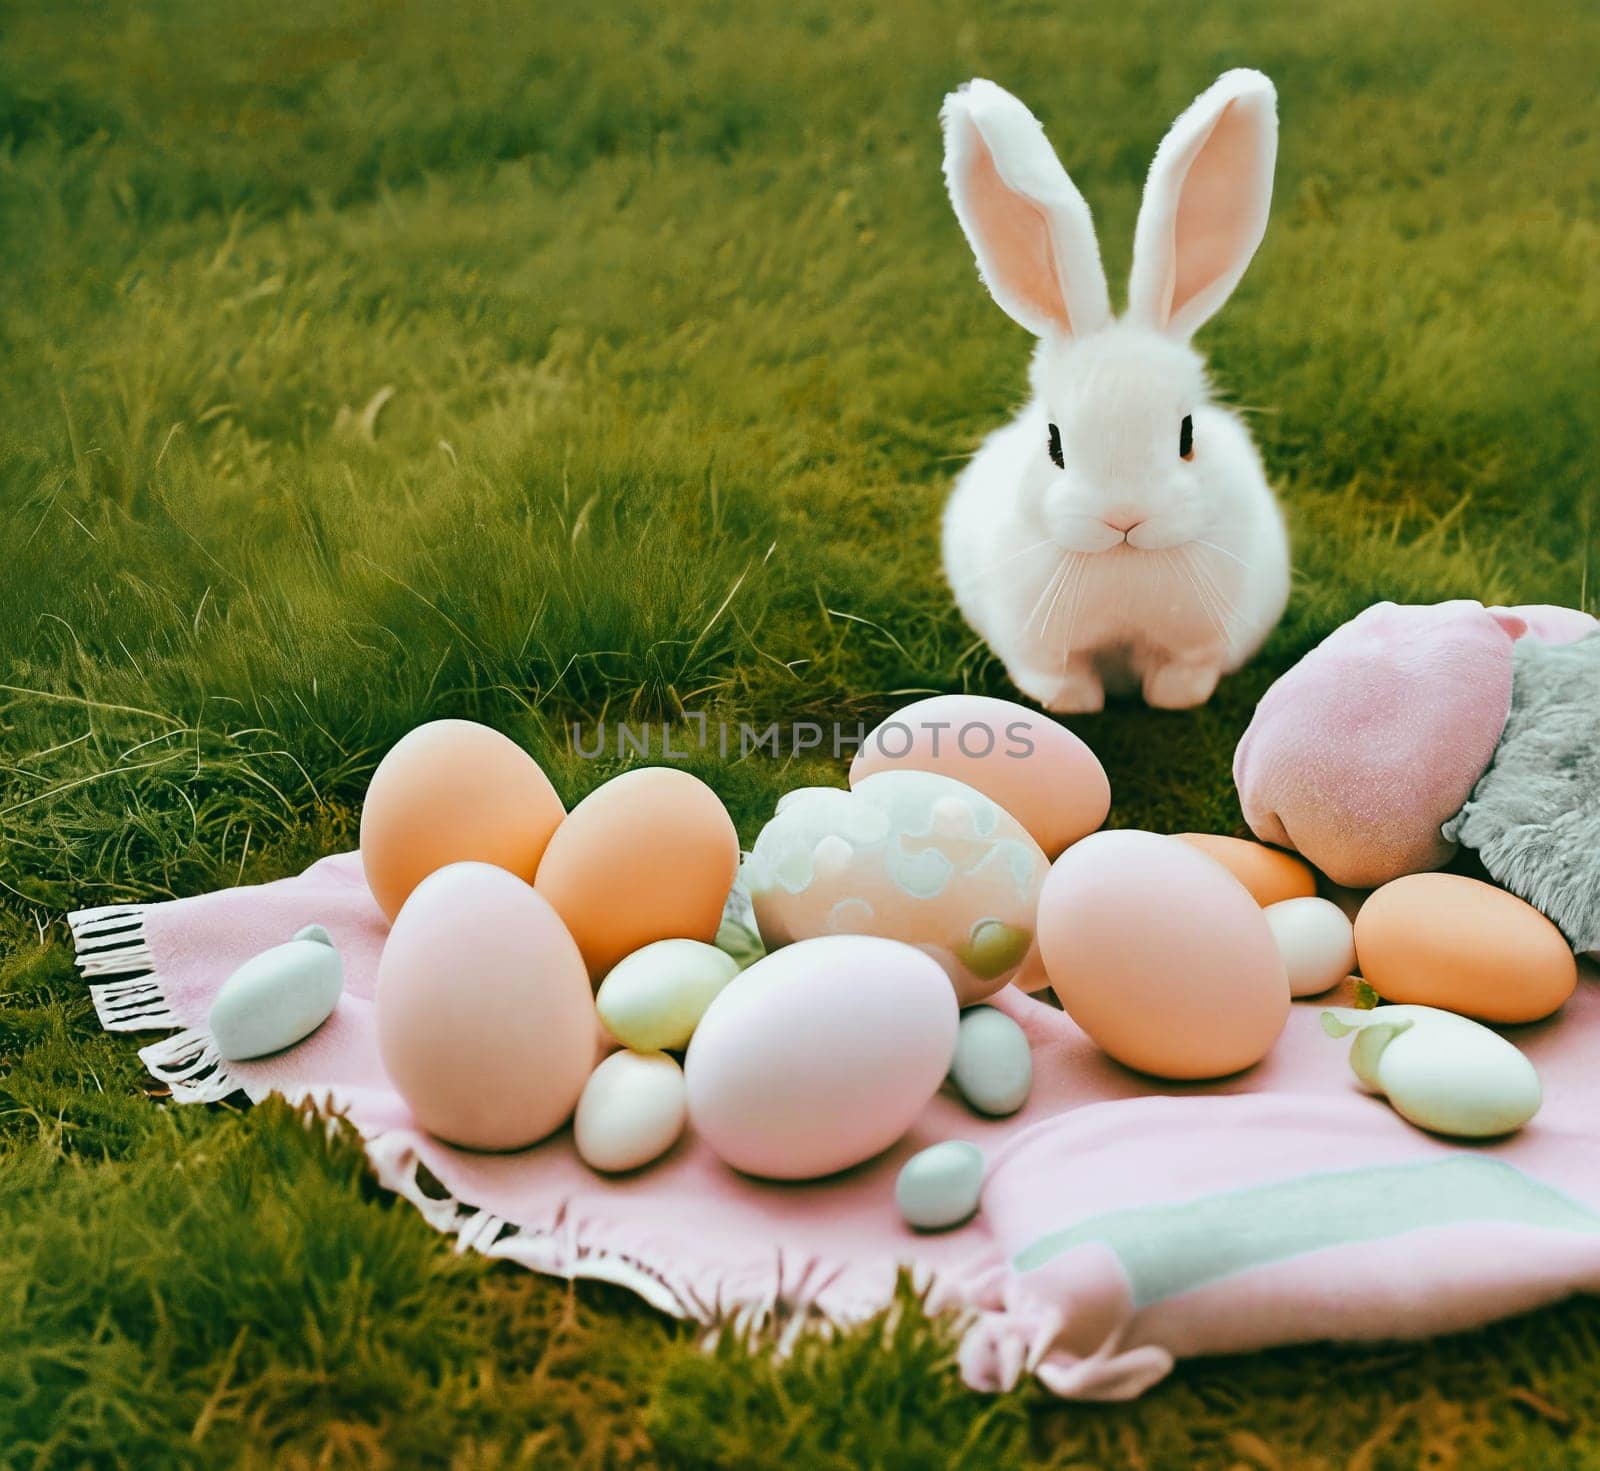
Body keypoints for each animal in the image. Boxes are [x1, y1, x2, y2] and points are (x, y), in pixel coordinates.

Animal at [940, 70, 1292, 713]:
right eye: (1054, 443)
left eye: (1186, 436)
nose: (1125, 518)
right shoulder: (1040, 653)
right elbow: (1060, 683)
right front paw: (1075, 707)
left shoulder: (1196, 646)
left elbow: (1185, 677)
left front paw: (1172, 700)